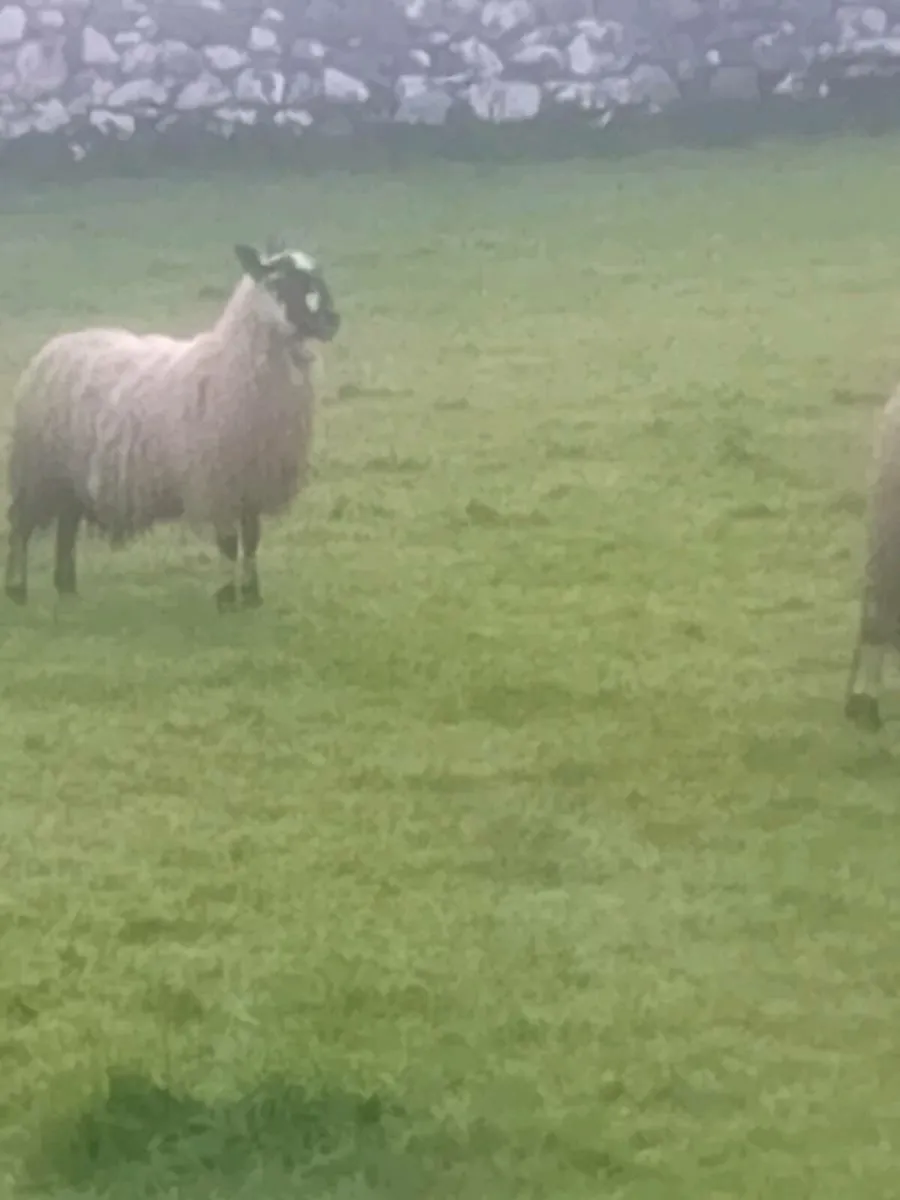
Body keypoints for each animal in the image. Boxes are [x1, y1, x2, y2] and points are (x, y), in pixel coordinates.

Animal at [3, 241, 341, 612]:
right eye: (281, 281)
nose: (331, 320)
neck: (235, 361)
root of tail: (53, 347)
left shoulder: (251, 479)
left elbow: (252, 540)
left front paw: (252, 596)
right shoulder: (216, 480)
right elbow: (228, 542)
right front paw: (227, 598)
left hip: (70, 477)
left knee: (66, 527)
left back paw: (67, 590)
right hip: (38, 468)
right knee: (20, 525)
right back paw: (17, 590)